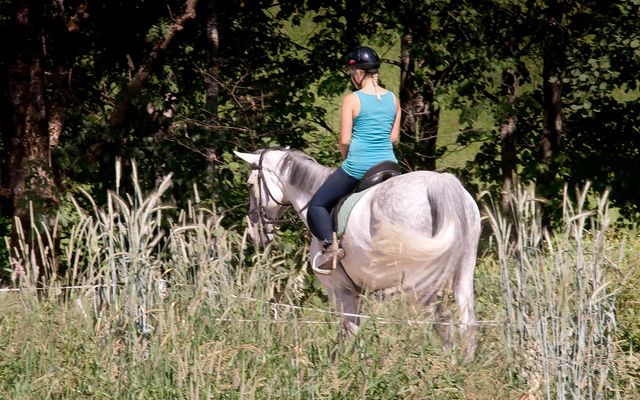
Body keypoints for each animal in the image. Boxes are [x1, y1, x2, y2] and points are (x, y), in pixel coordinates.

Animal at [235, 148, 480, 360]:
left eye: (249, 185)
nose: (254, 233)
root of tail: (440, 183)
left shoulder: (339, 290)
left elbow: (350, 331)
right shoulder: (357, 292)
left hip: (421, 283)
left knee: (442, 321)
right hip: (463, 271)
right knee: (466, 322)